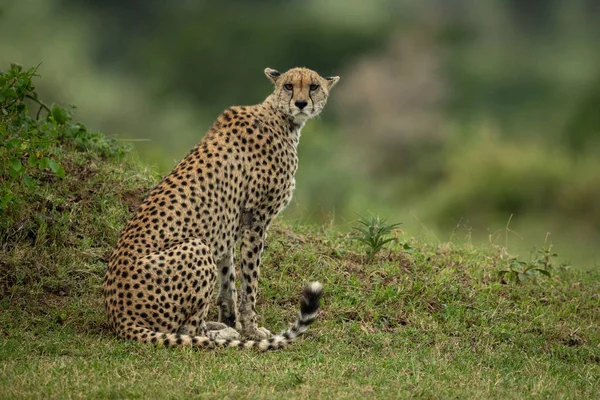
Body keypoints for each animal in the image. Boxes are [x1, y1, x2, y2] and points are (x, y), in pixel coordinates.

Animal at [102, 67, 338, 348]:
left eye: (313, 86)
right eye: (289, 86)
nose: (301, 103)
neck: (281, 117)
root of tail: (118, 316)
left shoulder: (230, 226)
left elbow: (229, 278)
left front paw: (231, 319)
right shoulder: (256, 218)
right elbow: (249, 282)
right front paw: (250, 330)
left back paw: (219, 328)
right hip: (197, 247)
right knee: (190, 330)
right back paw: (220, 335)